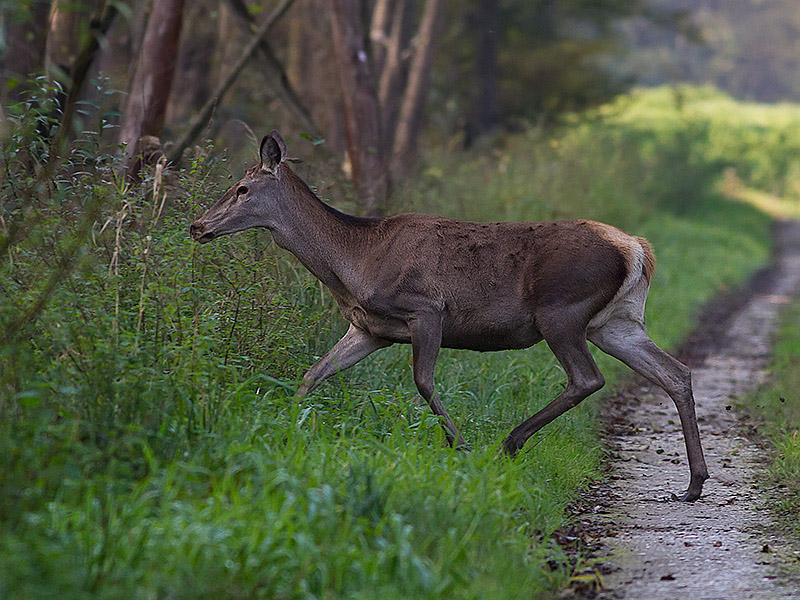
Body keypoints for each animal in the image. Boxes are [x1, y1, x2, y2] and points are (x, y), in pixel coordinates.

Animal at [191, 130, 708, 502]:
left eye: (241, 188)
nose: (197, 225)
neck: (353, 263)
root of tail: (638, 249)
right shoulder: (368, 328)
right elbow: (313, 373)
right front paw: (283, 428)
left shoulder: (426, 308)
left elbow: (423, 381)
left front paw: (460, 445)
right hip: (615, 321)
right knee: (674, 372)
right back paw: (693, 483)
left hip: (560, 310)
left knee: (588, 378)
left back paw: (510, 442)